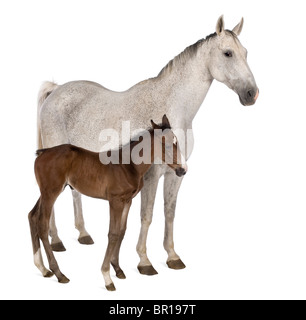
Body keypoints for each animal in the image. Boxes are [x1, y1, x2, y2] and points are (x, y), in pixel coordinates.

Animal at [28, 115, 186, 290]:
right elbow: (113, 233)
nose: (182, 170)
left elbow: (122, 232)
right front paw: (107, 277)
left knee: (32, 216)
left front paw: (118, 269)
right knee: (42, 224)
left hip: (46, 192)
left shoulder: (127, 201)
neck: (128, 165)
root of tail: (43, 152)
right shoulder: (115, 201)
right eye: (166, 144)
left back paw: (43, 269)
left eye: (177, 142)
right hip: (51, 193)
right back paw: (59, 273)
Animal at [37, 15, 258, 276]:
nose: (252, 94)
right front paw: (144, 261)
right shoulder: (151, 175)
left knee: (74, 193)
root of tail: (55, 91)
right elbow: (147, 214)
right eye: (227, 53)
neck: (172, 108)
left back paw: (83, 234)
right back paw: (57, 241)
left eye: (246, 52)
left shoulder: (176, 174)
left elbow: (169, 213)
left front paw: (172, 256)